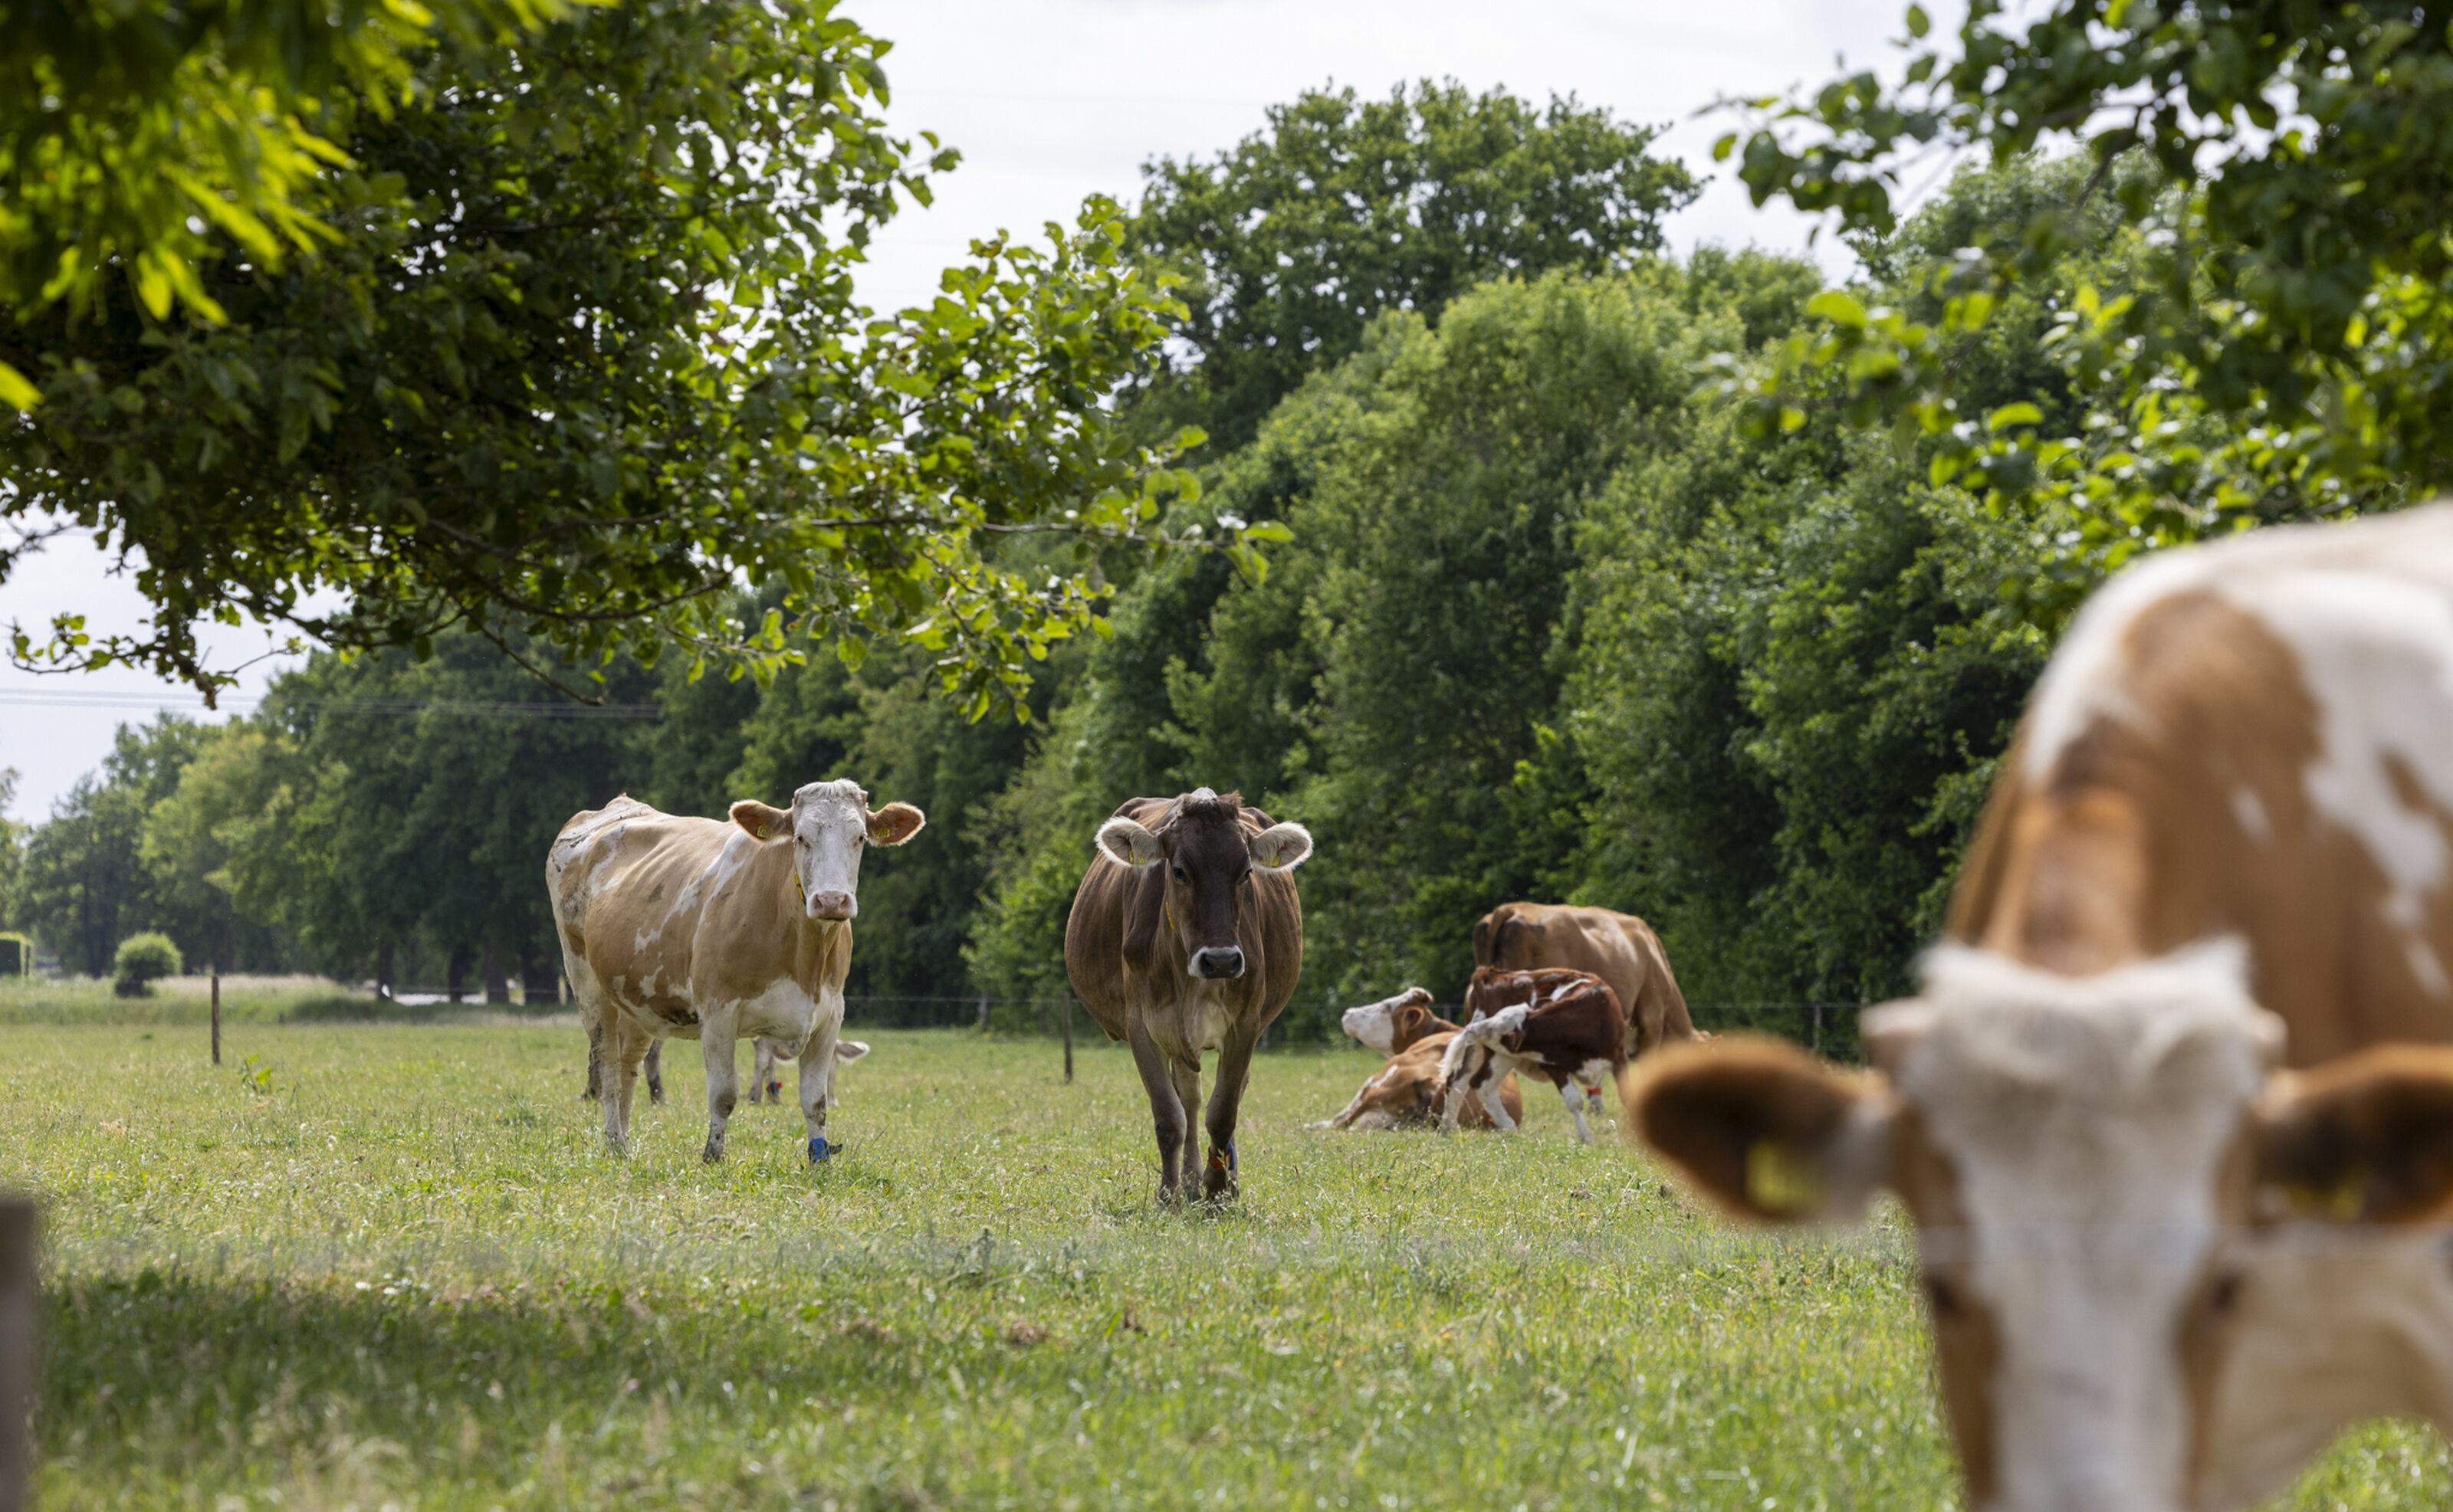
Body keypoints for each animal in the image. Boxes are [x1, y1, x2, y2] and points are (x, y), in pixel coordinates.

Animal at [549, 783, 924, 1163]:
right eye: (800, 838)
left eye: (860, 837)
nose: (831, 900)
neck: (803, 957)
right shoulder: (718, 1012)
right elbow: (725, 1094)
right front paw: (713, 1156)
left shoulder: (830, 1016)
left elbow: (815, 1101)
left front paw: (820, 1161)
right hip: (587, 982)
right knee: (608, 1067)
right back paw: (614, 1143)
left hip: (636, 998)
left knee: (629, 1066)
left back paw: (624, 1145)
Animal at [1064, 788, 1312, 1202]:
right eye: (1179, 871)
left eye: (1246, 873)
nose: (1221, 960)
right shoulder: (1141, 1026)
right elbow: (1170, 1117)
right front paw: (1169, 1193)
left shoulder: (1245, 1025)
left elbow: (1223, 1113)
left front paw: (1218, 1188)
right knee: (1190, 1097)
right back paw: (1190, 1178)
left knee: (1219, 1096)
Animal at [1438, 970, 1626, 1143]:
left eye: (1494, 1028)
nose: (1471, 1029)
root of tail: (1490, 975)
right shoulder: (1553, 1064)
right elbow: (1574, 1100)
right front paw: (1586, 1137)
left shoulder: (1619, 1060)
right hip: (1499, 1056)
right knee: (1482, 1085)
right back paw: (1510, 1128)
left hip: (1482, 1052)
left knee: (1457, 1084)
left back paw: (1448, 1129)